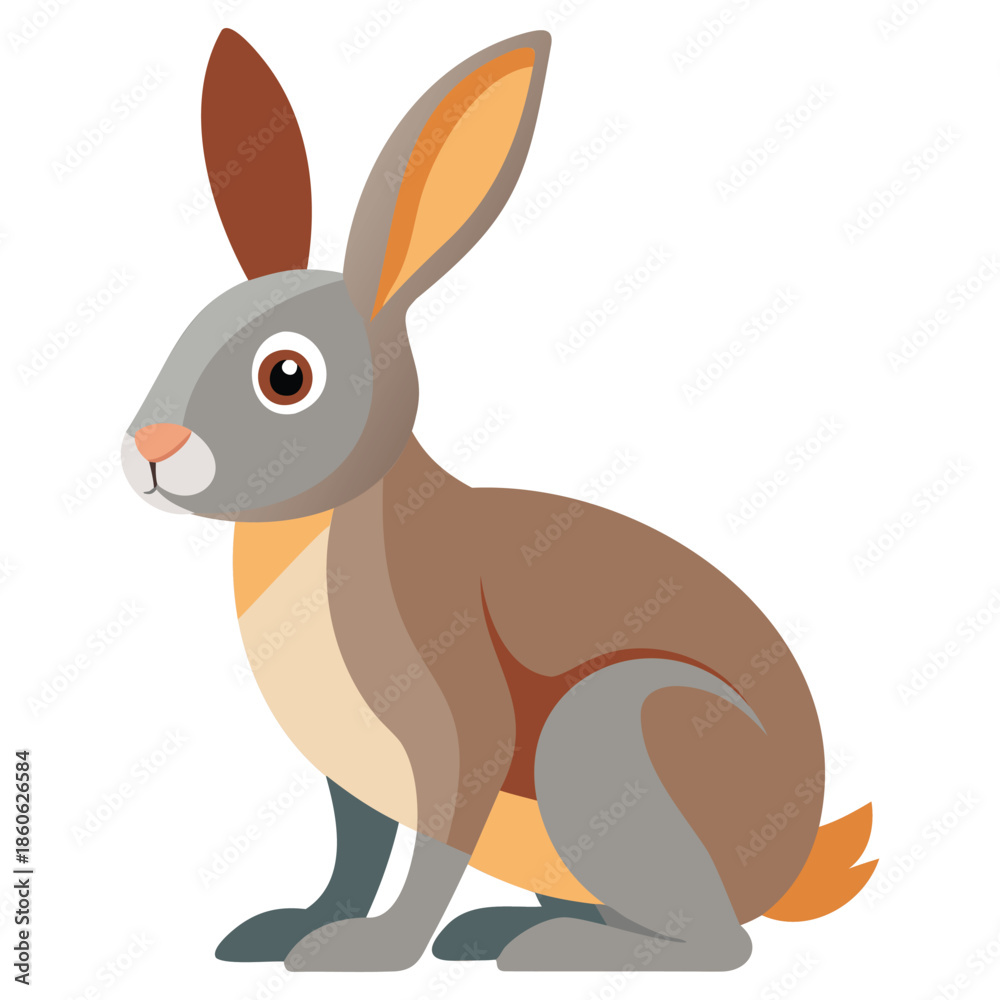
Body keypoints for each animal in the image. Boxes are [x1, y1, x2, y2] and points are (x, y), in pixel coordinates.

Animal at [123, 28, 876, 972]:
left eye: (286, 376)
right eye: (187, 332)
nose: (148, 451)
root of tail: (794, 863)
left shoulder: (458, 734)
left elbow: (435, 847)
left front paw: (369, 952)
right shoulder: (351, 778)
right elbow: (354, 854)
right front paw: (293, 931)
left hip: (606, 734)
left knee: (720, 944)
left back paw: (549, 950)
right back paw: (500, 931)